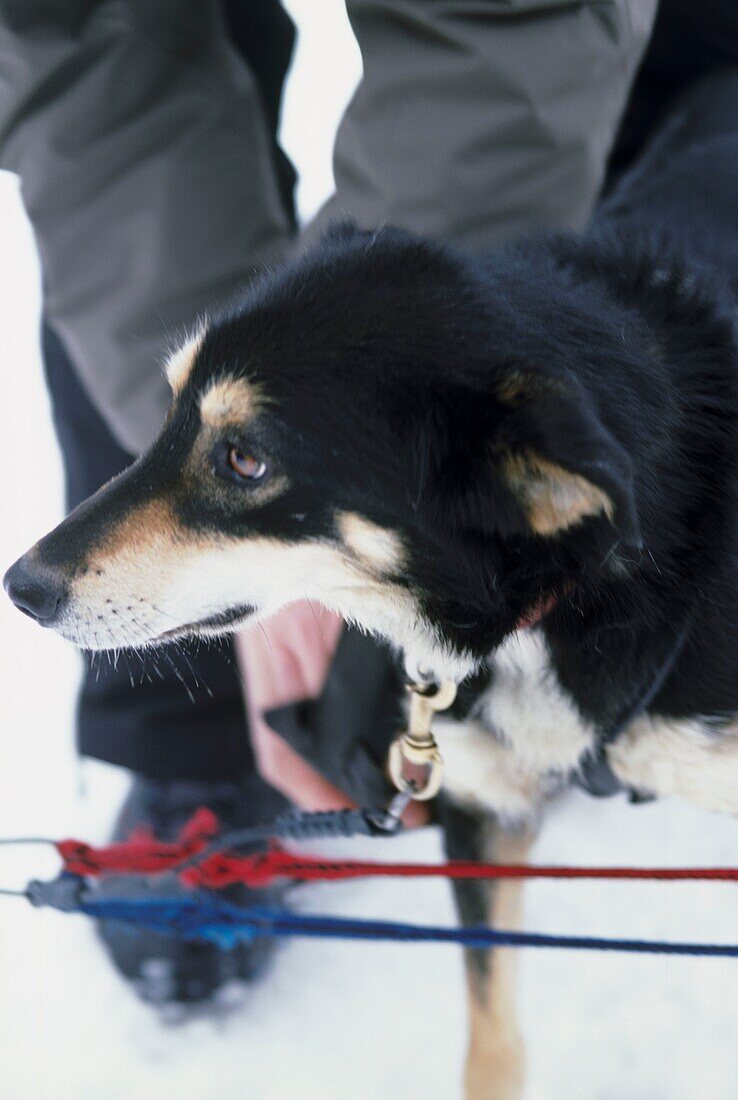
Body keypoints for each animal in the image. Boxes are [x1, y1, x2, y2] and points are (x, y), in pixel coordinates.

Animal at [5, 73, 738, 1095]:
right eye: (171, 407)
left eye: (245, 458)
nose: (22, 584)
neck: (552, 612)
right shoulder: (481, 810)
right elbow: (492, 1043)